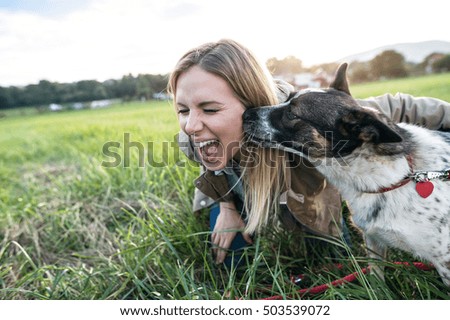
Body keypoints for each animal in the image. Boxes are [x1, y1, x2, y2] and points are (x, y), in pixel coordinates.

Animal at [244, 63, 448, 286]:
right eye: (287, 98)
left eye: (292, 114)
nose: (245, 113)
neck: (398, 176)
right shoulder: (373, 242)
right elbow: (377, 283)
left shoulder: (444, 262)